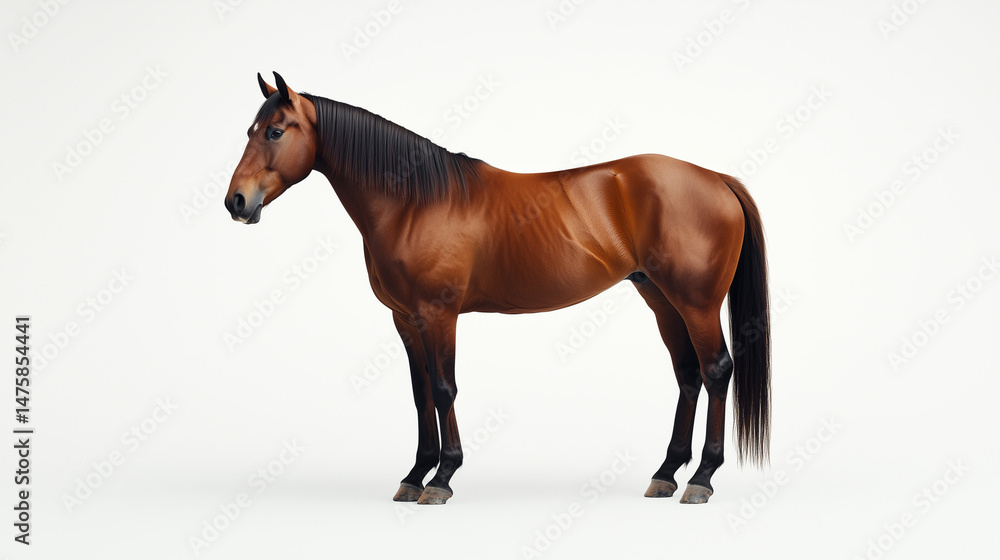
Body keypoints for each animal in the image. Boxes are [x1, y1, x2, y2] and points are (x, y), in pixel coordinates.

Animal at [225, 72, 770, 505]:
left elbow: (444, 388)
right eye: (251, 130)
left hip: (696, 303)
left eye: (275, 131)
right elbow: (420, 392)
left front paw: (442, 478)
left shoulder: (438, 313)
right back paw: (666, 474)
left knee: (716, 370)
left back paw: (701, 478)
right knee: (688, 375)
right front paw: (414, 475)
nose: (236, 202)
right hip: (660, 299)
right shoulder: (405, 319)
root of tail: (715, 179)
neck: (414, 202)